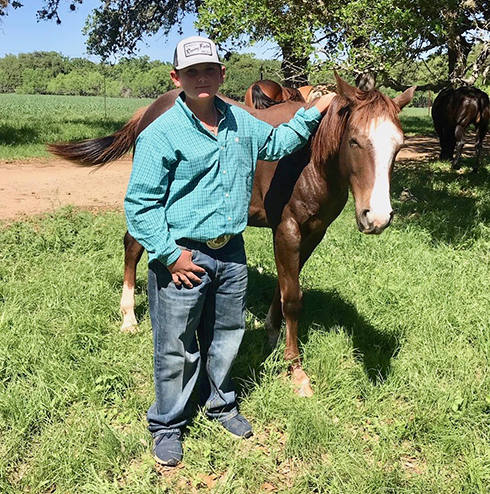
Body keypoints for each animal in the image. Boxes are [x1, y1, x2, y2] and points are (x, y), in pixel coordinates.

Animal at [49, 73, 416, 396]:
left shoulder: (312, 233)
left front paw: (271, 335)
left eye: (399, 145)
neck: (310, 158)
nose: (377, 217)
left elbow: (286, 286)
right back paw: (128, 317)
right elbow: (293, 299)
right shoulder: (288, 229)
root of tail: (150, 109)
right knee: (133, 245)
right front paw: (296, 371)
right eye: (354, 140)